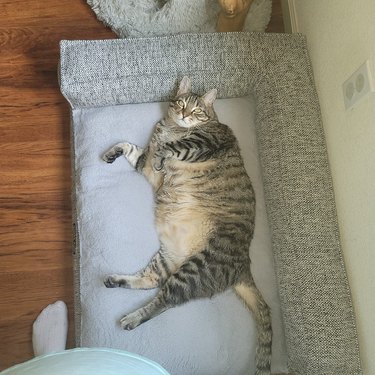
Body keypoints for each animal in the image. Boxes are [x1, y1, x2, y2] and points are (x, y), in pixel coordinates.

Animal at [103, 77, 274, 375]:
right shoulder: (146, 167)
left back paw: (131, 318)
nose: (185, 114)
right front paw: (112, 152)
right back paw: (115, 280)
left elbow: (170, 148)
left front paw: (164, 152)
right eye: (181, 103)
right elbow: (130, 147)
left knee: (165, 300)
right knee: (151, 281)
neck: (171, 127)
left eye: (197, 110)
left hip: (197, 268)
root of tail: (244, 265)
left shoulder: (203, 142)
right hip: (168, 260)